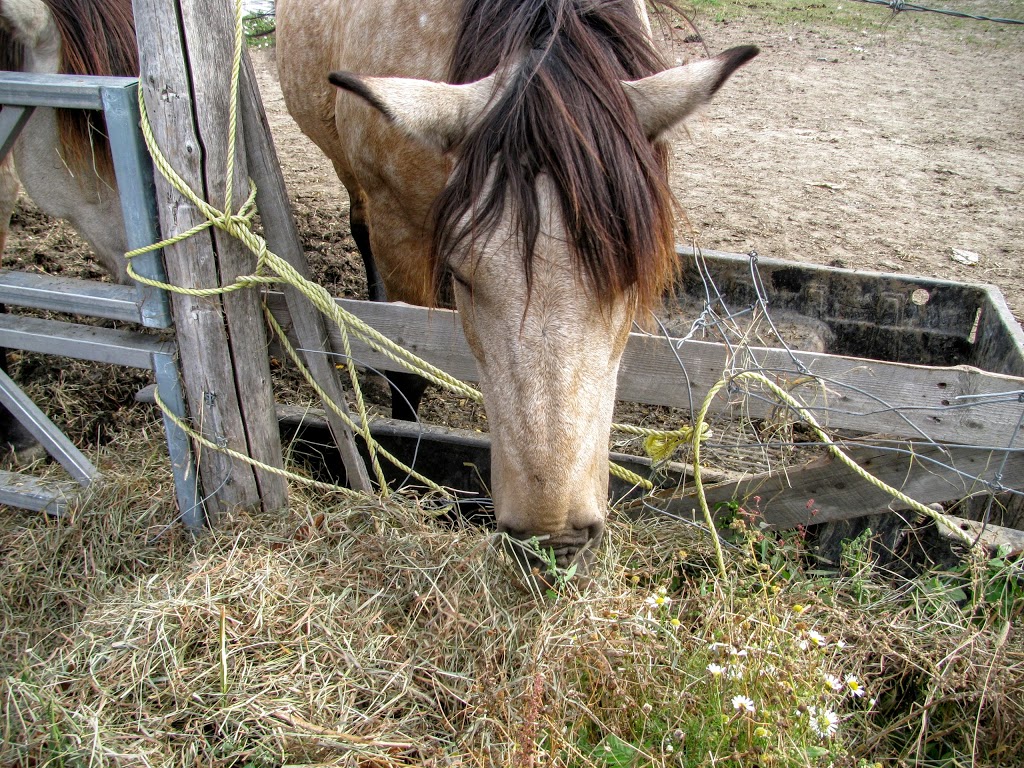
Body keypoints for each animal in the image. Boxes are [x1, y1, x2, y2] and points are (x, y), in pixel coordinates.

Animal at [276, 0, 757, 581]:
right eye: (461, 274)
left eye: (631, 276)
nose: (553, 538)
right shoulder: (400, 224)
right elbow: (406, 369)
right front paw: (408, 476)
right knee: (359, 224)